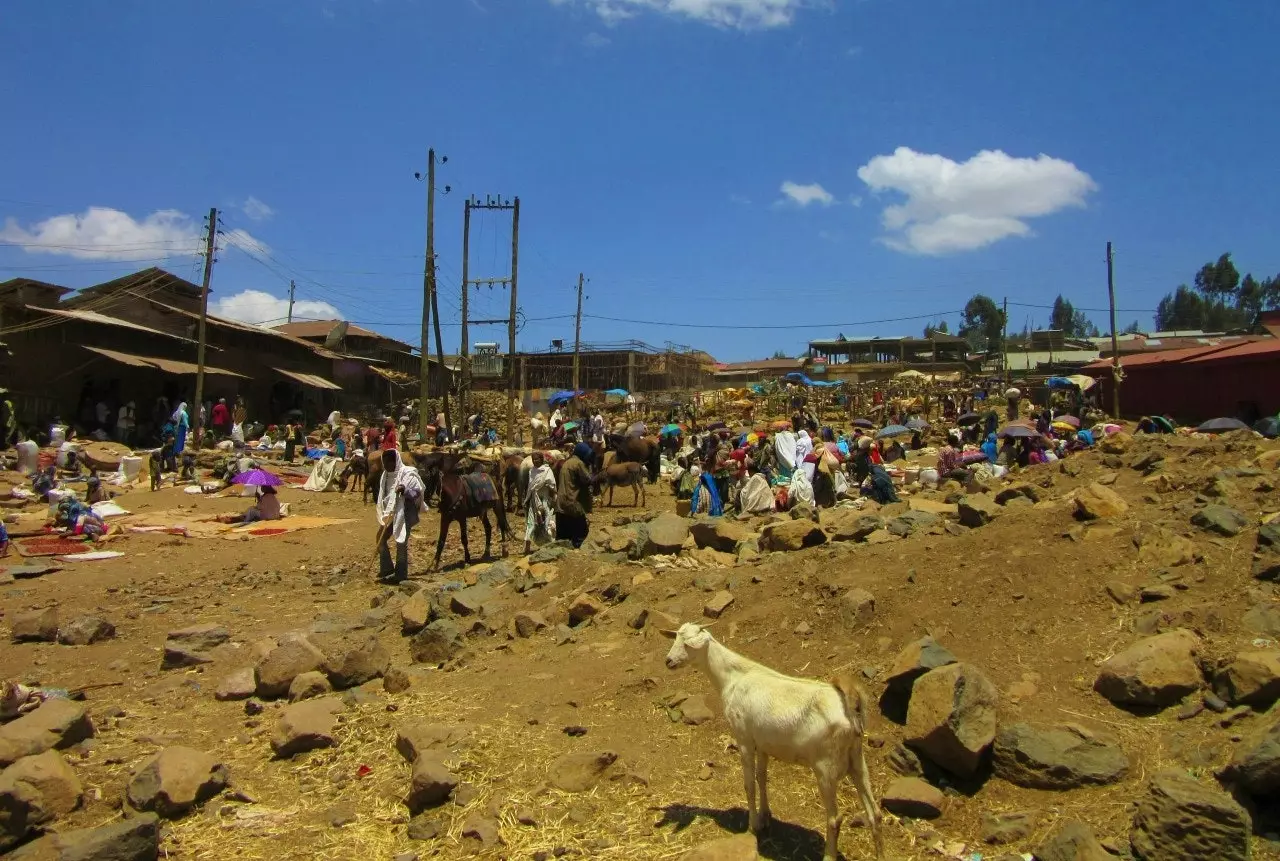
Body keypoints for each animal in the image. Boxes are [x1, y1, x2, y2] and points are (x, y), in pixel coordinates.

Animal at [660, 621, 880, 859]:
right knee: (875, 814)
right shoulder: (763, 743)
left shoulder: (744, 738)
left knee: (835, 818)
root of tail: (850, 706)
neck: (732, 679)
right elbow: (762, 778)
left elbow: (749, 784)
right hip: (856, 758)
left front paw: (752, 826)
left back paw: (828, 855)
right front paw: (765, 816)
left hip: (826, 768)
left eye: (688, 644)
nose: (668, 661)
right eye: (675, 638)